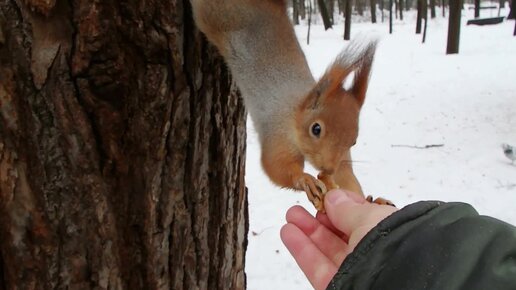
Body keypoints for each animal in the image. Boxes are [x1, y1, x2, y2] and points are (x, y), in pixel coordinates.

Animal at [189, 0, 378, 210]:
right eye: (316, 129)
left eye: (353, 141)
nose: (328, 168)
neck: (296, 111)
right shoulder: (278, 134)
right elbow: (274, 165)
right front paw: (305, 179)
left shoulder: (343, 158)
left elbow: (345, 174)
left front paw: (369, 199)